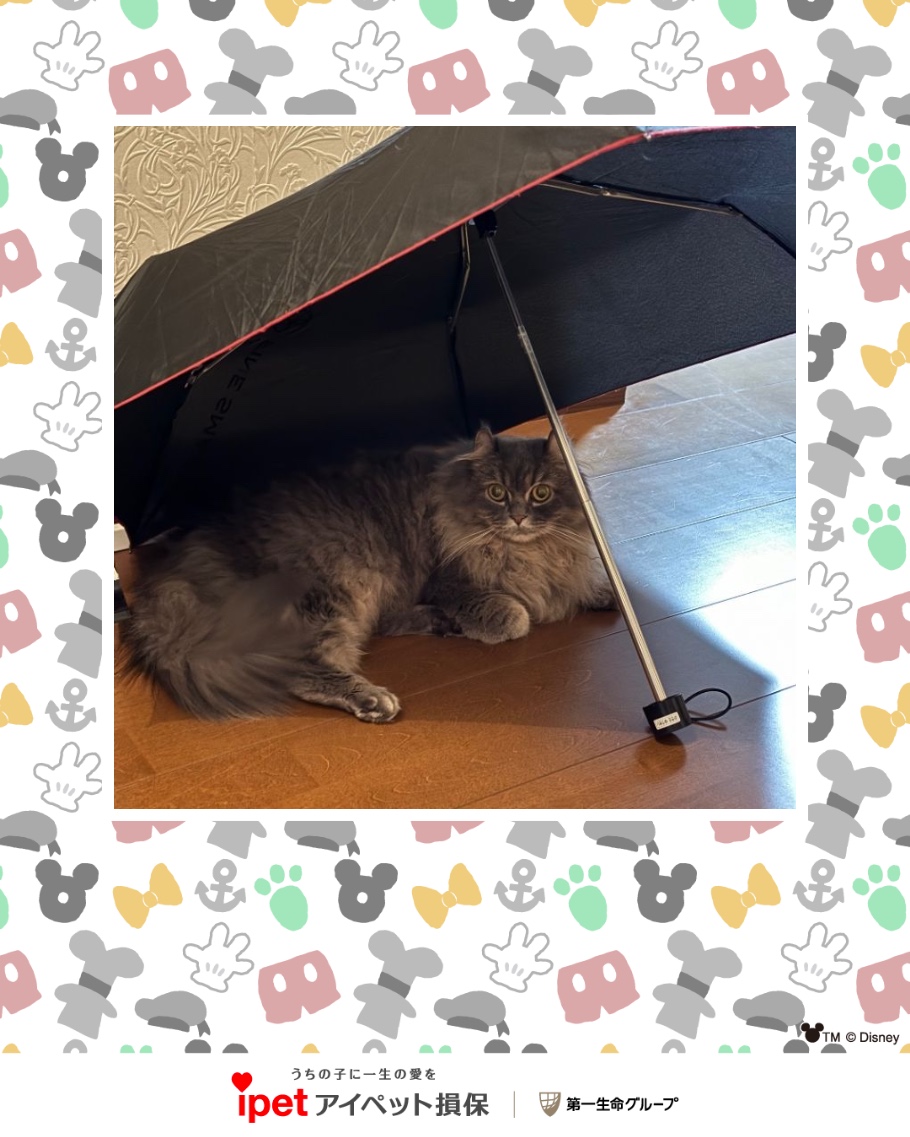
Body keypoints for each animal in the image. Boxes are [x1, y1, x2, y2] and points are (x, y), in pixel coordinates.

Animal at [119, 426, 615, 723]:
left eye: (540, 493)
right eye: (496, 493)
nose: (517, 517)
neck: (530, 551)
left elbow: (582, 583)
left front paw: (603, 592)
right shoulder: (450, 580)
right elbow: (515, 614)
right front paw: (508, 617)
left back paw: (440, 625)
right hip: (341, 587)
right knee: (298, 668)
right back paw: (375, 699)